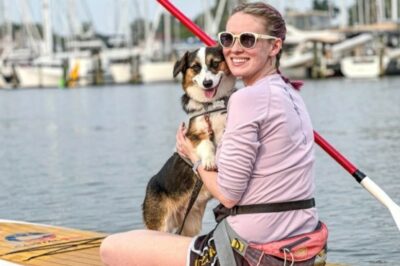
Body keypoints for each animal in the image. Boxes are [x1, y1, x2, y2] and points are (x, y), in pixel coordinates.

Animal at [142, 46, 236, 237]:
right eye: (195, 67)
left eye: (215, 63)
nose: (207, 83)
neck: (211, 106)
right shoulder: (193, 134)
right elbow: (207, 143)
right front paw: (209, 161)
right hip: (160, 225)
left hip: (190, 225)